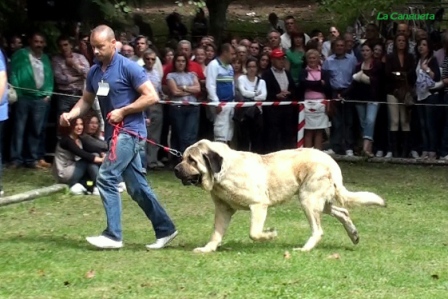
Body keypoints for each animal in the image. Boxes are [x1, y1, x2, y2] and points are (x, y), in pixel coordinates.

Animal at [173, 141, 386, 253]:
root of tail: (331, 161)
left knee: (318, 229)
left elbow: (254, 233)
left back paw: (304, 249)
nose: (175, 169)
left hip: (308, 199)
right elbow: (216, 233)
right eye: (183, 157)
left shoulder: (258, 204)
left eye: (192, 160)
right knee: (343, 212)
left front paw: (271, 234)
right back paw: (354, 235)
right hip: (320, 201)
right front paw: (207, 249)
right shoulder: (223, 209)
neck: (223, 171)